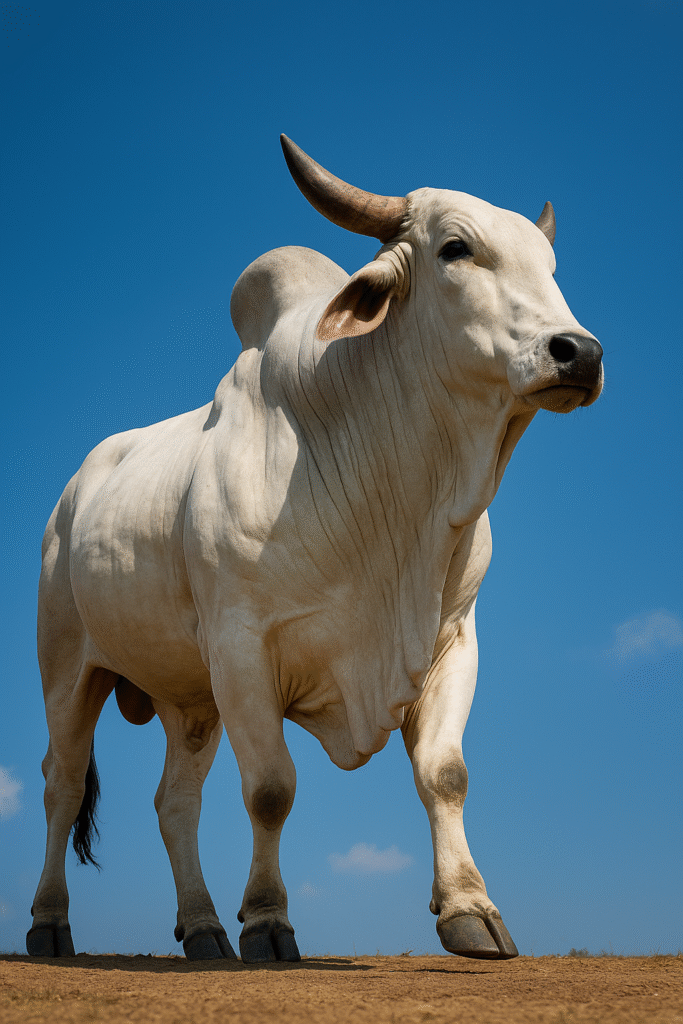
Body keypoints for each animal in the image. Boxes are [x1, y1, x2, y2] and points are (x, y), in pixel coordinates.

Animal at [27, 135, 603, 964]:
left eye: (550, 267)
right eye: (454, 249)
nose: (577, 352)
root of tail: (72, 494)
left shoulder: (451, 640)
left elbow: (444, 774)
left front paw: (470, 910)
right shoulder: (242, 648)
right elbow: (271, 788)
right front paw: (268, 921)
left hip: (188, 698)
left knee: (176, 802)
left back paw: (203, 929)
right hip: (69, 666)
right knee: (62, 784)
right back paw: (51, 923)